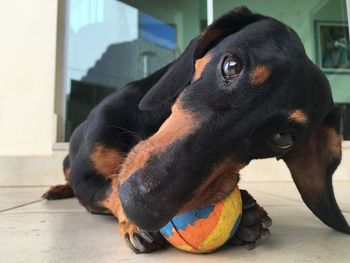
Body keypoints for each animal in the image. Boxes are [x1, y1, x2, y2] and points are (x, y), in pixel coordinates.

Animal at [43, 6, 350, 254]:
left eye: (283, 137)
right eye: (231, 64)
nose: (142, 205)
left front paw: (247, 215)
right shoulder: (86, 179)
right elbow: (110, 186)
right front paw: (131, 223)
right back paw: (58, 189)